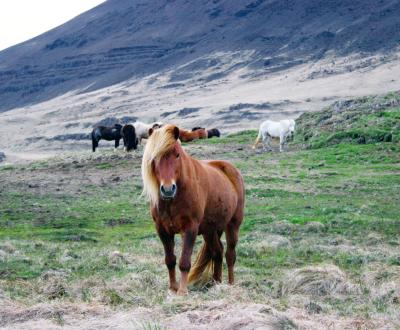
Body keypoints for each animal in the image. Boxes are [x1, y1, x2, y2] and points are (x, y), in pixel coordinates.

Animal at [142, 125, 245, 296]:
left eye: (177, 154)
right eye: (154, 157)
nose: (168, 189)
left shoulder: (190, 229)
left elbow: (184, 262)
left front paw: (182, 291)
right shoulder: (162, 230)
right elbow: (170, 260)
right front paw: (173, 288)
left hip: (233, 225)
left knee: (230, 255)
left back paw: (230, 284)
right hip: (210, 230)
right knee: (217, 252)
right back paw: (215, 283)